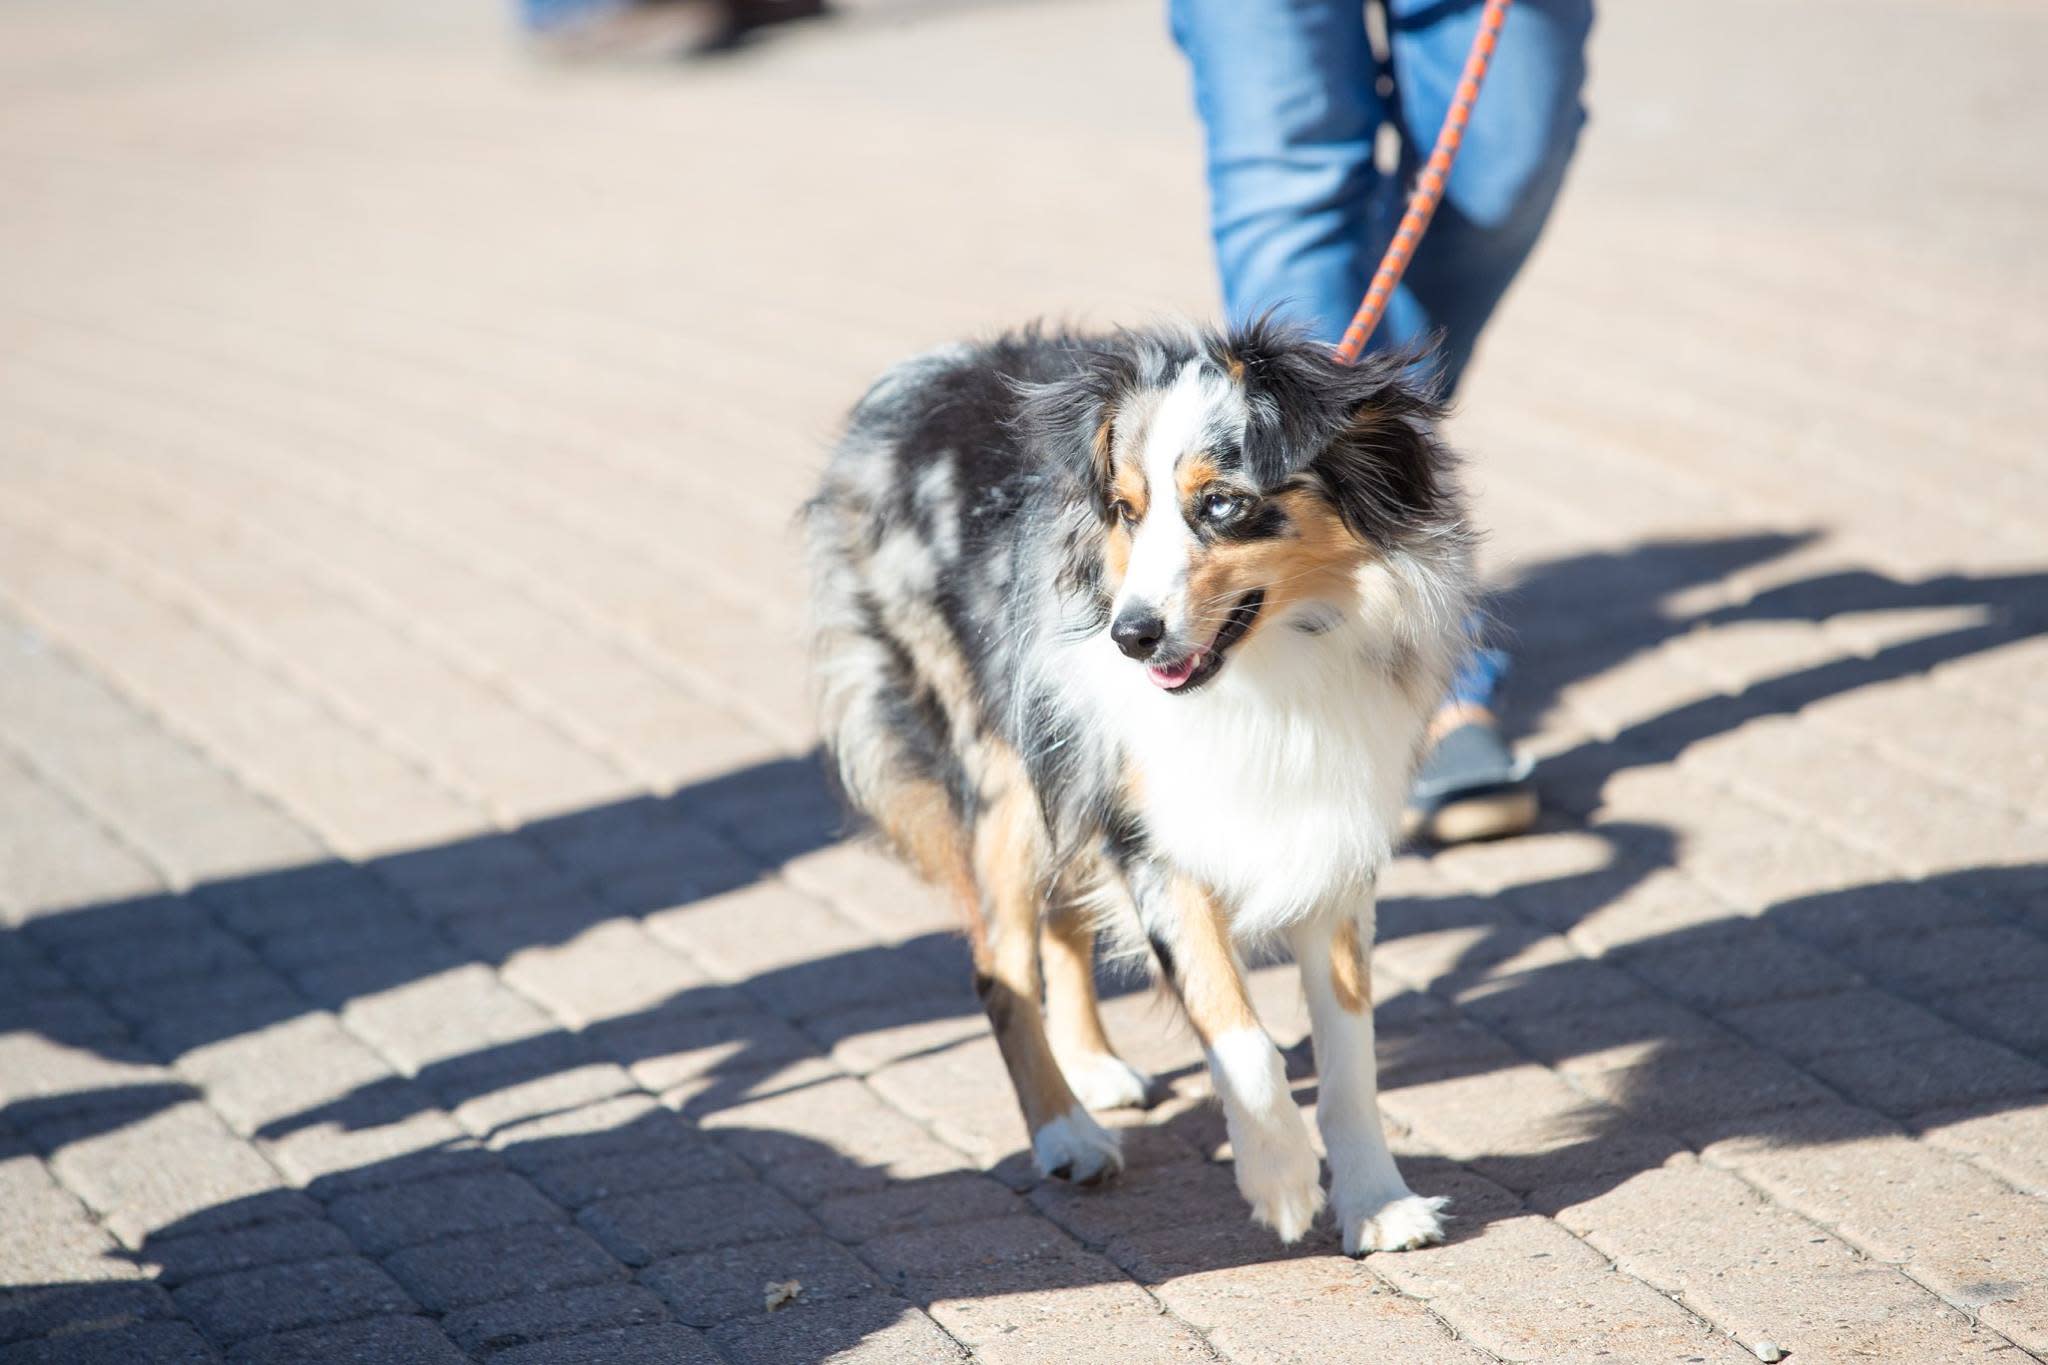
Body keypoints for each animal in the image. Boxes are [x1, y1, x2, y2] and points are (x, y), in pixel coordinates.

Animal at [802, 321, 1474, 1260]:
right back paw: (1067, 1133)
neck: (1270, 669)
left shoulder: (1332, 833)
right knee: (1000, 968)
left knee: (1061, 928)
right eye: (1124, 510)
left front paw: (1378, 1201)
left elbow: (1350, 1049)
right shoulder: (1150, 836)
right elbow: (1237, 1029)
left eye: (1222, 504)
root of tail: (930, 372)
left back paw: (1090, 1068)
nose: (1131, 635)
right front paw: (1280, 1179)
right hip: (1004, 769)